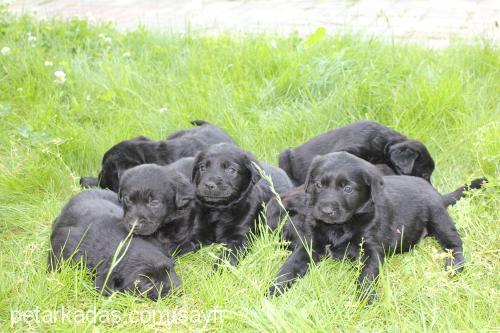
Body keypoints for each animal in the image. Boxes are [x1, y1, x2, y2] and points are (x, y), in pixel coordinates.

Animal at [270, 152, 484, 300]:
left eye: (348, 189)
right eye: (318, 185)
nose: (326, 210)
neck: (342, 226)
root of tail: (438, 194)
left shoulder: (371, 249)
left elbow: (366, 277)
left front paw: (365, 301)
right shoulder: (310, 244)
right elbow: (290, 266)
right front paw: (273, 288)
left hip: (439, 217)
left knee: (455, 244)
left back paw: (453, 265)